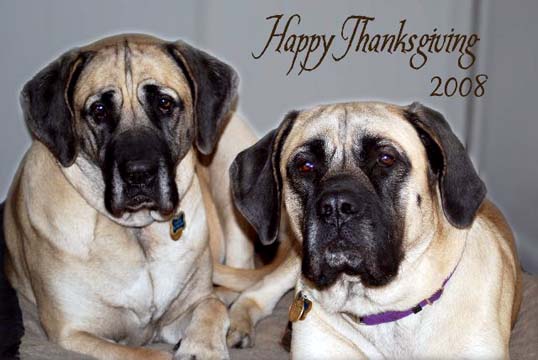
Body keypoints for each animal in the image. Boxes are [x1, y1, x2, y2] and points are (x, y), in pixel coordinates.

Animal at [1, 34, 258, 360]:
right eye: (99, 110)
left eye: (164, 103)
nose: (139, 174)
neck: (138, 233)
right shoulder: (73, 333)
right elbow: (148, 354)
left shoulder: (185, 307)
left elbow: (211, 306)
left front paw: (202, 348)